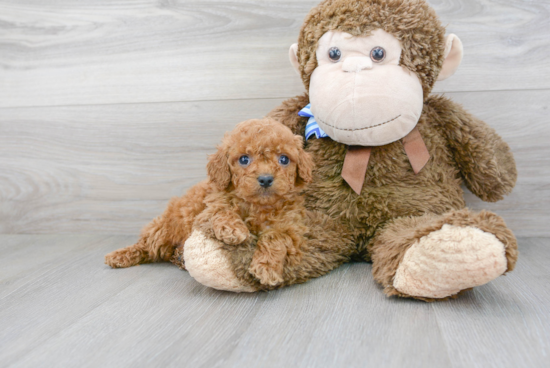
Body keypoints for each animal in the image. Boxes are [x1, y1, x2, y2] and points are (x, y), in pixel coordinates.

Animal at [104, 119, 314, 286]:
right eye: (244, 159)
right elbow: (222, 211)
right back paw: (119, 256)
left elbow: (275, 237)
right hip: (166, 227)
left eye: (284, 159)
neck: (259, 206)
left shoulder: (293, 229)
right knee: (147, 245)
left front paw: (267, 268)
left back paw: (180, 257)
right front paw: (233, 230)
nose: (265, 179)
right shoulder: (207, 210)